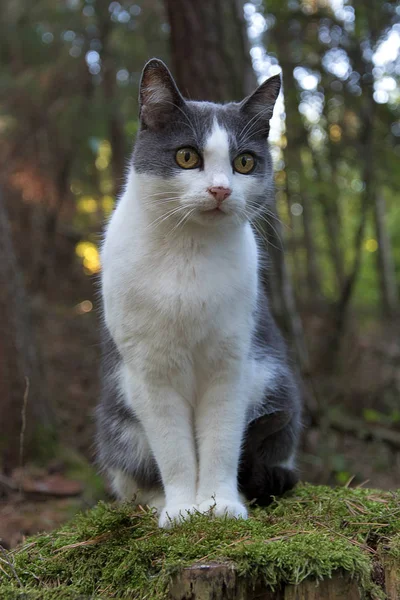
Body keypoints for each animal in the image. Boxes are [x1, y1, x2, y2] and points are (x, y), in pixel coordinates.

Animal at [97, 58, 302, 528]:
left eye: (244, 162)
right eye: (187, 156)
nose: (220, 189)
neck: (187, 253)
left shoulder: (231, 361)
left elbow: (221, 440)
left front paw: (219, 504)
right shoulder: (149, 371)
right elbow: (172, 448)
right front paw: (180, 510)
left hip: (276, 386)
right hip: (119, 421)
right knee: (133, 474)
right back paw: (154, 502)